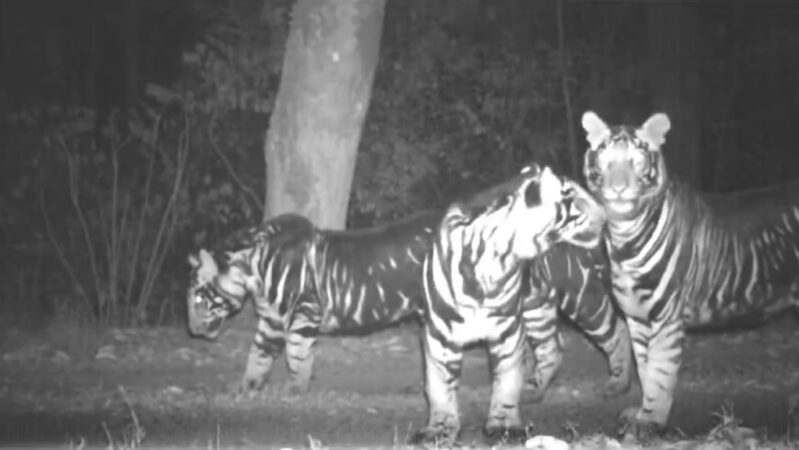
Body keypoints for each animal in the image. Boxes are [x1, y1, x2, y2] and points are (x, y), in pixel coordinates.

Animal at [411, 163, 608, 446]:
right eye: (575, 198)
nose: (606, 217)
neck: (497, 260)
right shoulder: (439, 335)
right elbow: (440, 385)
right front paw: (439, 430)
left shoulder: (508, 331)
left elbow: (507, 379)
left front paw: (504, 425)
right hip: (539, 311)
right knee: (552, 347)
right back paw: (534, 389)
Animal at [580, 110, 799, 438]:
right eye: (605, 158)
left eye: (637, 160)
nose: (618, 188)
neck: (623, 234)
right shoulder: (637, 317)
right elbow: (645, 368)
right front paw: (641, 415)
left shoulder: (666, 318)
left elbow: (659, 373)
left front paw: (650, 423)